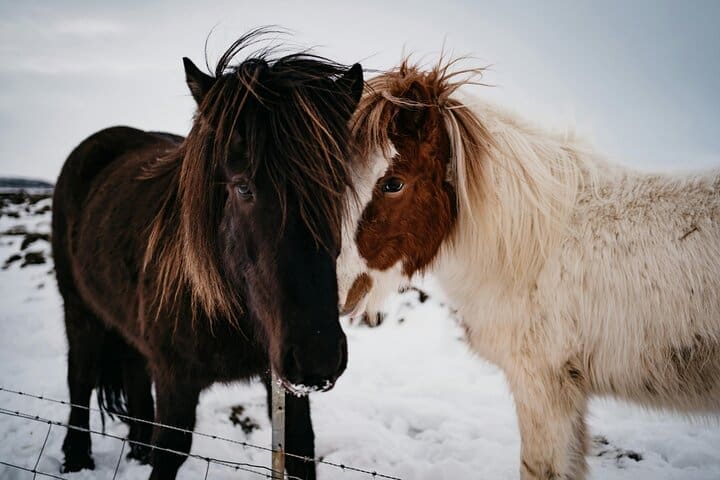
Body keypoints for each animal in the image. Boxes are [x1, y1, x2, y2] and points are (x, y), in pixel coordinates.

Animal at [52, 31, 363, 480]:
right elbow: (170, 451)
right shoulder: (176, 379)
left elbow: (300, 449)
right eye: (242, 186)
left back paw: (137, 449)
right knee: (80, 379)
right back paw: (77, 457)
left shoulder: (282, 379)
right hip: (78, 309)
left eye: (337, 185)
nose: (317, 356)